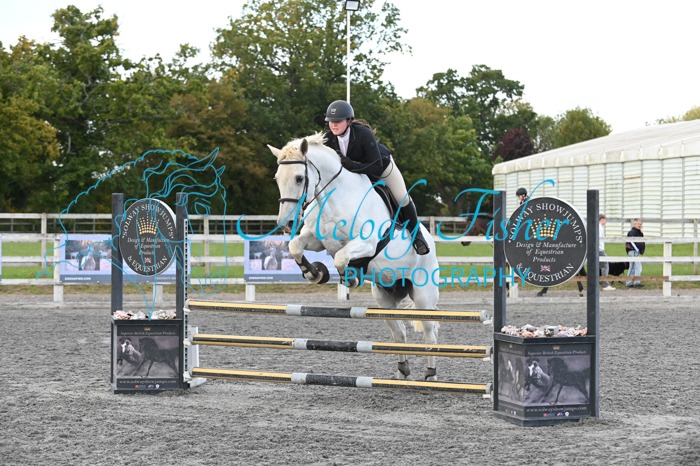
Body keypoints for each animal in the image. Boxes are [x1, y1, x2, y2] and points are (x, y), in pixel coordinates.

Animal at [268, 133, 441, 381]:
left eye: (300, 178)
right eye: (277, 178)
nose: (287, 223)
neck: (332, 199)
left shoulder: (366, 243)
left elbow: (341, 257)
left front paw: (350, 277)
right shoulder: (316, 239)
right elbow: (295, 247)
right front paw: (315, 273)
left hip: (423, 294)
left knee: (429, 331)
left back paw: (430, 374)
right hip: (385, 298)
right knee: (399, 333)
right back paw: (403, 372)